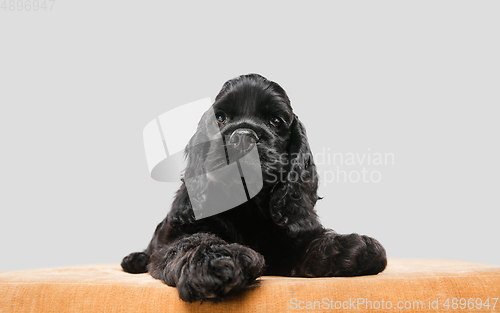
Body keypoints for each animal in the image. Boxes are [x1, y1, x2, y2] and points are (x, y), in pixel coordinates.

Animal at [122, 73, 386, 302]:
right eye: (220, 118)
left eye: (276, 121)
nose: (242, 136)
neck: (247, 205)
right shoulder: (177, 235)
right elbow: (193, 241)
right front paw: (216, 261)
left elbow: (305, 243)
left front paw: (349, 247)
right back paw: (134, 259)